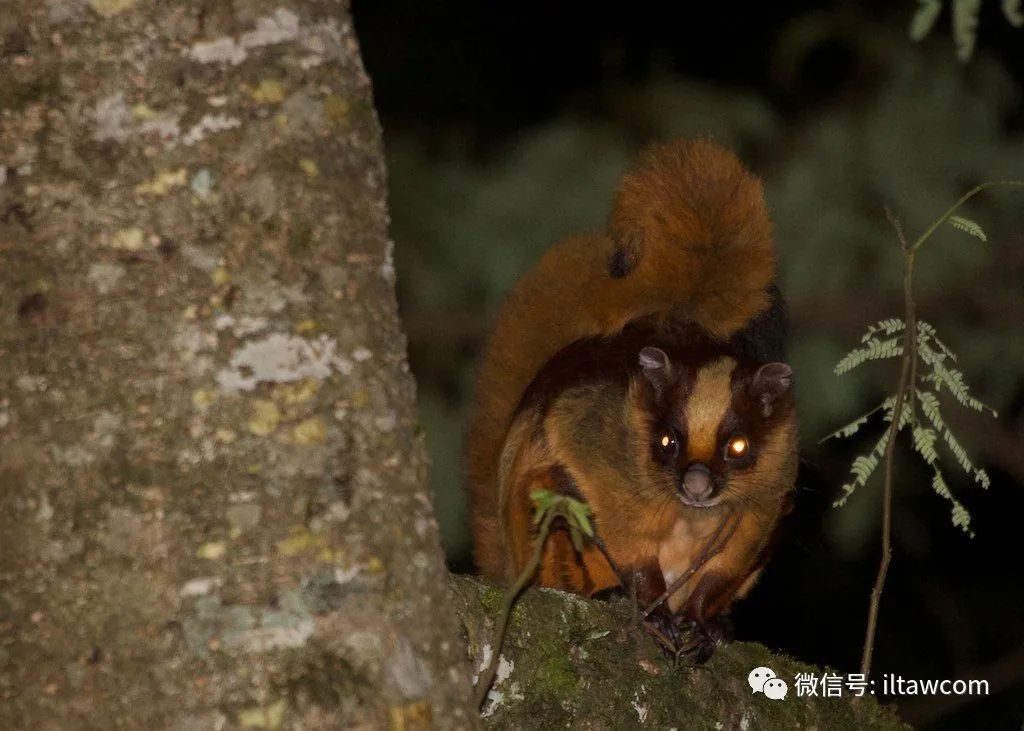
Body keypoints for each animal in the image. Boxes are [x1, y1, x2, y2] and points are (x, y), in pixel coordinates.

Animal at [466, 138, 798, 659]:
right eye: (666, 443)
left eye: (738, 447)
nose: (697, 483)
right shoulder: (600, 427)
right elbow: (595, 484)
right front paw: (647, 603)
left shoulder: (775, 472)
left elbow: (749, 531)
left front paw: (702, 621)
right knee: (557, 488)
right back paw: (609, 595)